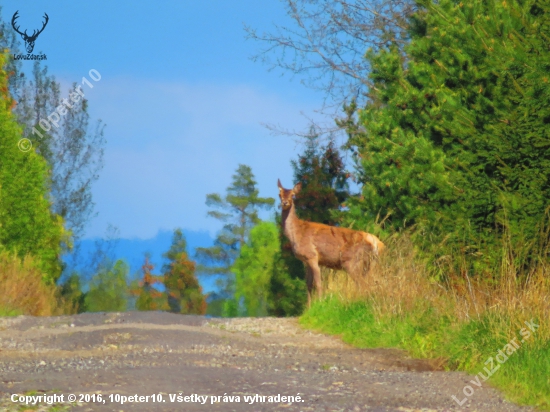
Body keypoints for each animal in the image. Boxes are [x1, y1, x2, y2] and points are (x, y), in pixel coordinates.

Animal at [278, 179, 386, 308]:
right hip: (370, 264)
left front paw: (320, 302)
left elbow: (318, 283)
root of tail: (377, 243)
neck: (297, 233)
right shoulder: (306, 260)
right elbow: (308, 284)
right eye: (279, 194)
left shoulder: (312, 256)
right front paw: (308, 307)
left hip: (351, 261)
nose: (285, 202)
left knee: (361, 283)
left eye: (293, 195)